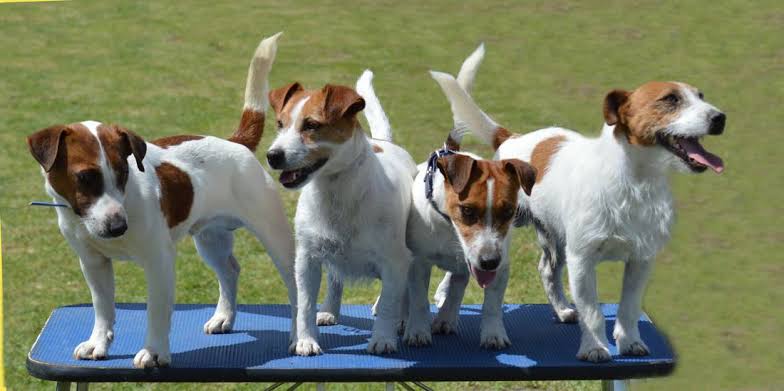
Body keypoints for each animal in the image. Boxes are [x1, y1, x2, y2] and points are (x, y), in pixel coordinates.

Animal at [26, 33, 298, 368]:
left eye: (122, 171)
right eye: (85, 177)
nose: (118, 227)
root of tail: (235, 143)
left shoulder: (159, 262)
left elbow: (156, 311)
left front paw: (154, 351)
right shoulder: (93, 263)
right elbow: (102, 307)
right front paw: (98, 342)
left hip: (274, 237)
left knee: (296, 287)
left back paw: (301, 335)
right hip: (211, 239)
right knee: (230, 270)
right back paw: (224, 316)